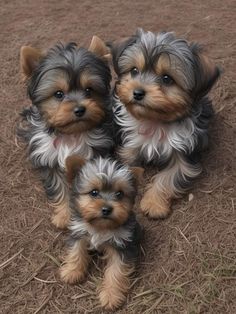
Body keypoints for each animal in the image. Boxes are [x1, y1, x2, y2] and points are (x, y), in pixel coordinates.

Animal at [18, 36, 113, 228]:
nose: (80, 109)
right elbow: (57, 185)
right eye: (58, 94)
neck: (70, 133)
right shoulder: (47, 156)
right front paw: (63, 216)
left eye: (89, 90)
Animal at [60, 155, 143, 310]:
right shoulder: (78, 230)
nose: (107, 209)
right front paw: (72, 271)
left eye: (119, 194)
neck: (100, 227)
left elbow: (116, 270)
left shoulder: (122, 244)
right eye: (94, 192)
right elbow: (76, 251)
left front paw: (111, 296)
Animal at [110, 28, 221, 218]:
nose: (137, 92)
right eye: (134, 71)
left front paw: (153, 204)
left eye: (167, 78)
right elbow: (125, 161)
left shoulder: (185, 152)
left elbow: (169, 178)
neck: (156, 121)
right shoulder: (130, 145)